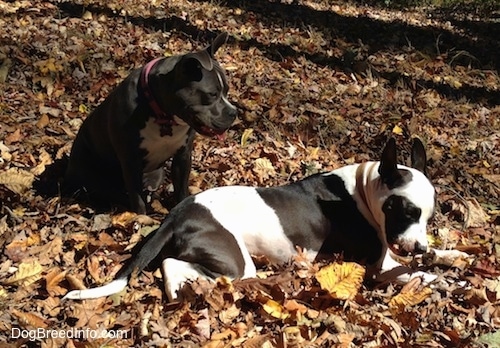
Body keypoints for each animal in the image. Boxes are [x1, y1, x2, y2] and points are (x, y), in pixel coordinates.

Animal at [63, 33, 238, 212]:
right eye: (212, 94)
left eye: (227, 91)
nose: (234, 112)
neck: (163, 115)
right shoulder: (131, 161)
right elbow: (137, 200)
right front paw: (141, 216)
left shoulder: (183, 156)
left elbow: (181, 189)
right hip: (93, 178)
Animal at [64, 137, 466, 300]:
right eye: (406, 211)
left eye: (429, 217)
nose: (418, 246)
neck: (365, 189)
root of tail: (178, 213)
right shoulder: (377, 268)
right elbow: (416, 274)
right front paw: (451, 281)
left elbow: (435, 259)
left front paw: (454, 257)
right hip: (237, 263)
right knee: (176, 264)